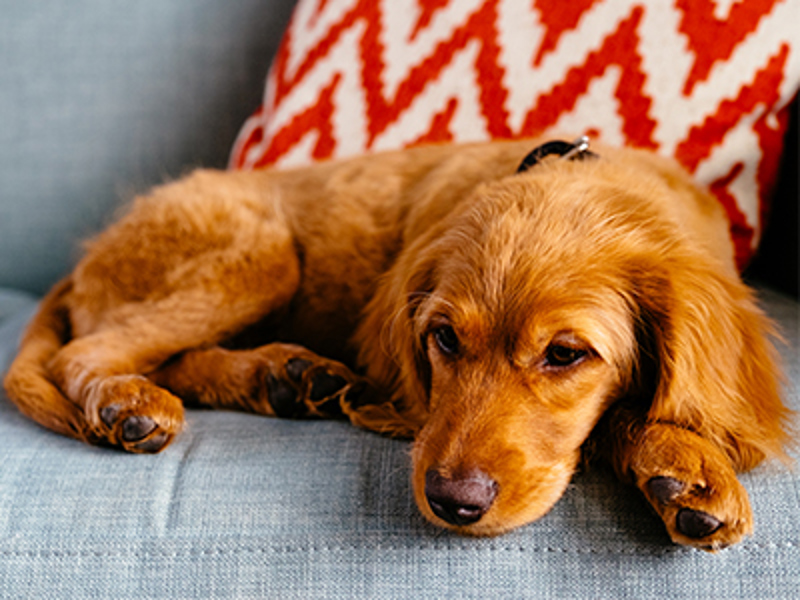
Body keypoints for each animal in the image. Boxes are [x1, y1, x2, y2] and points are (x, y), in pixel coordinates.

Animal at [3, 137, 792, 552]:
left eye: (566, 354)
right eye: (441, 337)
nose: (453, 504)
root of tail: (89, 254)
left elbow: (637, 406)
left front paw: (686, 465)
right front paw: (684, 460)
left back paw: (285, 375)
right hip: (260, 247)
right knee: (86, 354)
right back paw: (129, 402)